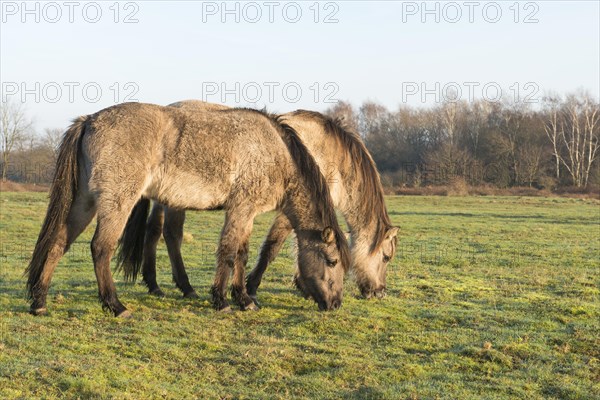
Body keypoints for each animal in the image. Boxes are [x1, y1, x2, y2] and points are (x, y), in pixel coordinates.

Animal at [25, 101, 350, 318]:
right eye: (332, 261)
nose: (335, 304)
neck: (273, 152)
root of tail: (90, 120)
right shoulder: (242, 209)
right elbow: (230, 251)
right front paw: (223, 300)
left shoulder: (247, 213)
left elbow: (242, 253)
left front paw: (244, 299)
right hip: (117, 202)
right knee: (100, 248)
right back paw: (115, 305)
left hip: (85, 203)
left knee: (58, 243)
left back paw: (39, 302)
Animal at [117, 100, 398, 304]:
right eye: (386, 257)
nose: (379, 292)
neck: (327, 154)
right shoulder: (288, 211)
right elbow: (272, 247)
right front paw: (250, 288)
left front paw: (301, 286)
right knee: (171, 234)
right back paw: (184, 287)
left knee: (154, 231)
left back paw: (155, 284)